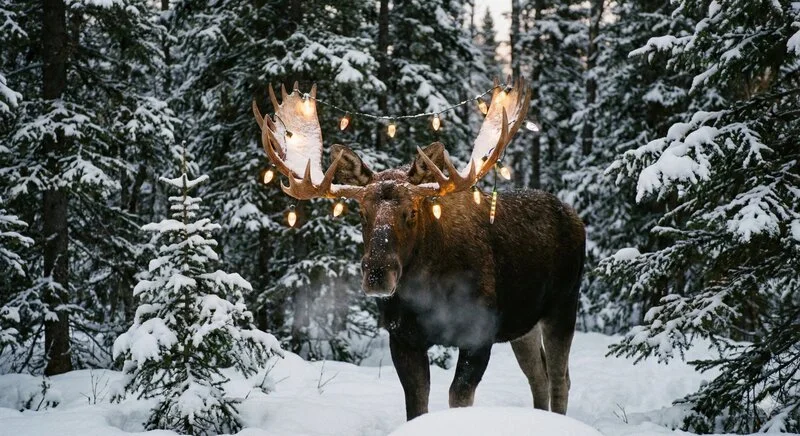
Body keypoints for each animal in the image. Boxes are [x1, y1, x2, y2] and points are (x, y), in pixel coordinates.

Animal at [252, 78, 585, 421]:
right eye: (362, 213)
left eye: (412, 211)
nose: (377, 274)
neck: (429, 294)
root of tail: (574, 217)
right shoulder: (403, 338)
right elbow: (416, 404)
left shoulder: (480, 332)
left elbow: (458, 396)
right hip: (522, 324)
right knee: (539, 375)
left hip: (564, 304)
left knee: (559, 377)